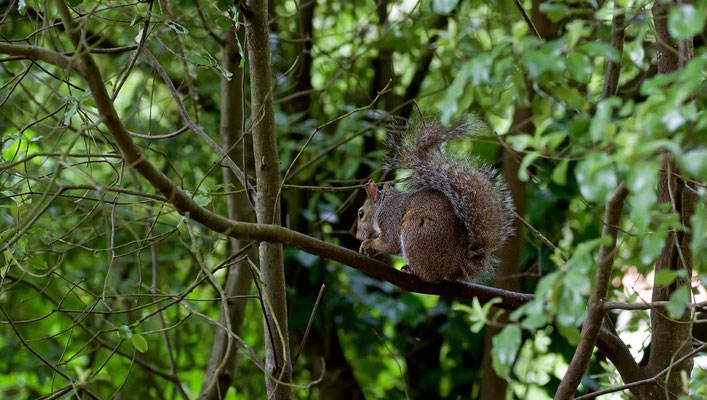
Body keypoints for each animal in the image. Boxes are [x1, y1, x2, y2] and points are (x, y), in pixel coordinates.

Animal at [360, 120, 516, 282]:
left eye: (361, 213)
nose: (358, 236)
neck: (382, 204)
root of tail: (455, 267)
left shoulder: (389, 217)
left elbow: (390, 243)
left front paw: (368, 245)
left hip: (416, 232)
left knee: (427, 275)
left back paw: (412, 271)